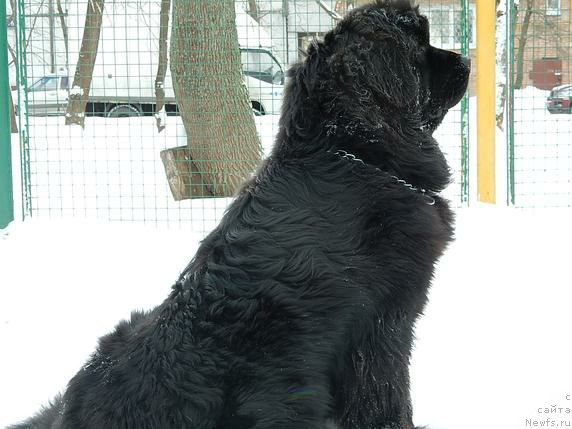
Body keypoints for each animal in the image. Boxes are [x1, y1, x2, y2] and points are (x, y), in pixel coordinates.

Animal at [13, 1, 470, 426]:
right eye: (421, 45)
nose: (467, 60)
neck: (350, 152)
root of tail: (71, 413)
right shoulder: (384, 324)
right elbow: (387, 394)